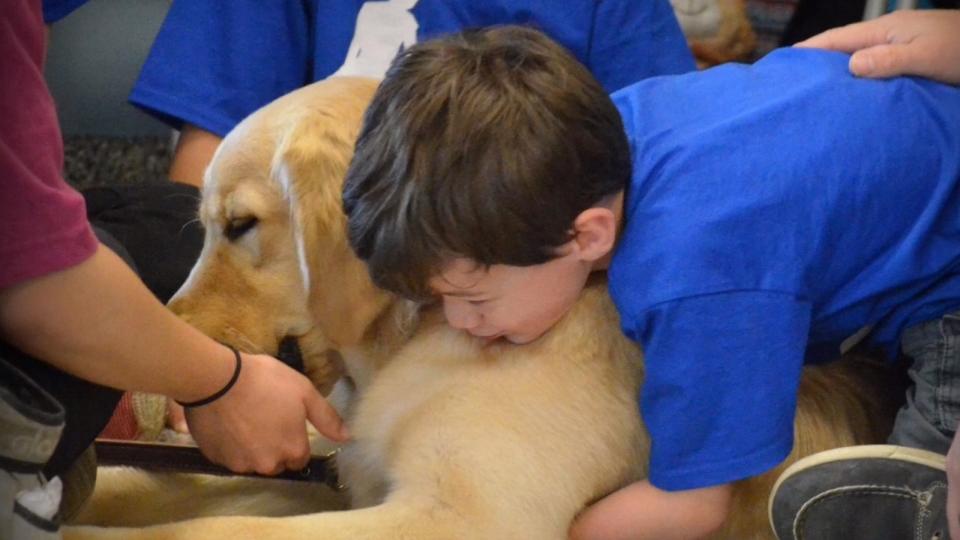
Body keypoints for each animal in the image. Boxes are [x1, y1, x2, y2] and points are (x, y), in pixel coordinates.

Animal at [67, 77, 900, 540]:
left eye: (239, 225)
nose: (169, 336)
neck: (419, 335)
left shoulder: (463, 515)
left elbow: (203, 527)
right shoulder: (345, 473)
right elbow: (163, 488)